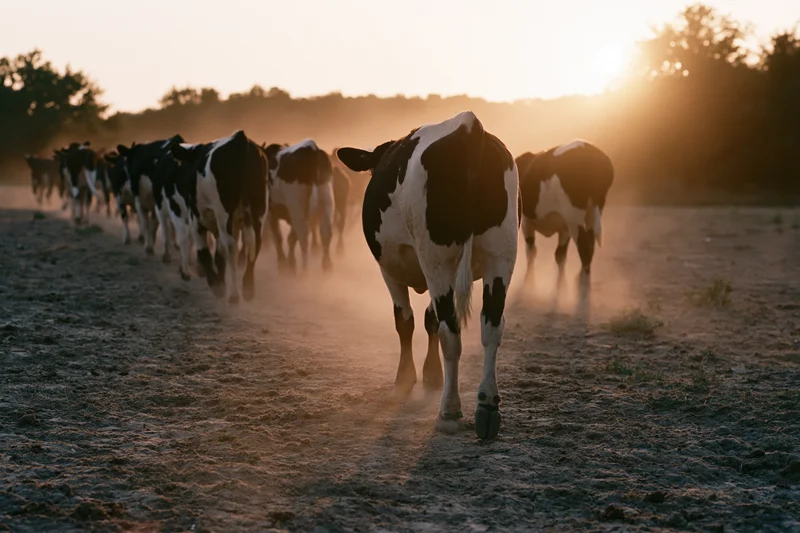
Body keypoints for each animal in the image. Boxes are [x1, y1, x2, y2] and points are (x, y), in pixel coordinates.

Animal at [168, 130, 268, 303]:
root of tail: (240, 139)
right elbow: (219, 252)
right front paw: (221, 280)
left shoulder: (196, 218)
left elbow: (204, 250)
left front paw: (217, 284)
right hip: (257, 211)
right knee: (254, 243)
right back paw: (248, 287)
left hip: (224, 214)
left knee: (231, 246)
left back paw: (233, 295)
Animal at [262, 139, 334, 273]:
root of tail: (311, 148)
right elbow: (291, 238)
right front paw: (290, 263)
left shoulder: (272, 212)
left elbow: (278, 237)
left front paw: (283, 263)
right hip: (326, 203)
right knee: (326, 233)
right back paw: (327, 265)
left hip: (297, 209)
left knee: (304, 237)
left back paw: (305, 271)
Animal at [336, 111, 519, 441]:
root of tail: (468, 126)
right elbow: (428, 318)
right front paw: (431, 373)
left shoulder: (389, 270)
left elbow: (405, 320)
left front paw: (405, 377)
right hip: (501, 257)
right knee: (491, 328)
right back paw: (487, 406)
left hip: (438, 260)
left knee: (451, 332)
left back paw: (449, 411)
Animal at [515, 139, 613, 287]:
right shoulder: (564, 226)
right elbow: (559, 255)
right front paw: (561, 286)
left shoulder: (527, 222)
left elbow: (532, 251)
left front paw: (529, 281)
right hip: (591, 214)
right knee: (590, 243)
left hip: (574, 217)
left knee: (584, 245)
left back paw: (583, 283)